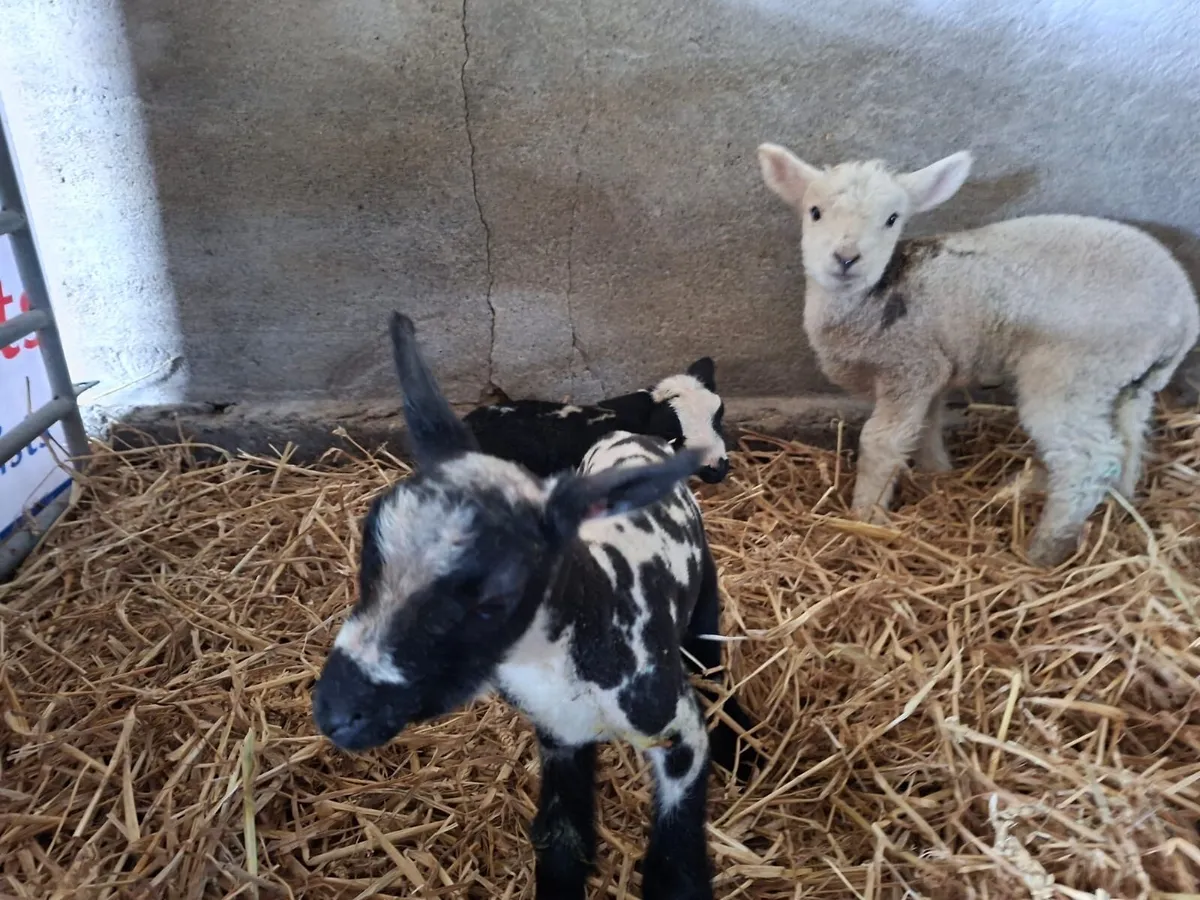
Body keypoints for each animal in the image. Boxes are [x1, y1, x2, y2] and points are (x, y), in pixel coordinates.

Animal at [757, 143, 1200, 567]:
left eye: (892, 219)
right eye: (815, 212)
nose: (846, 258)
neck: (875, 295)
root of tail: (1183, 313)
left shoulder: (909, 365)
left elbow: (881, 440)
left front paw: (865, 515)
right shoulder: (935, 366)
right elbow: (927, 426)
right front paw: (938, 474)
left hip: (1073, 370)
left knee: (1087, 460)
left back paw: (1043, 549)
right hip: (1130, 379)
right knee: (1127, 440)